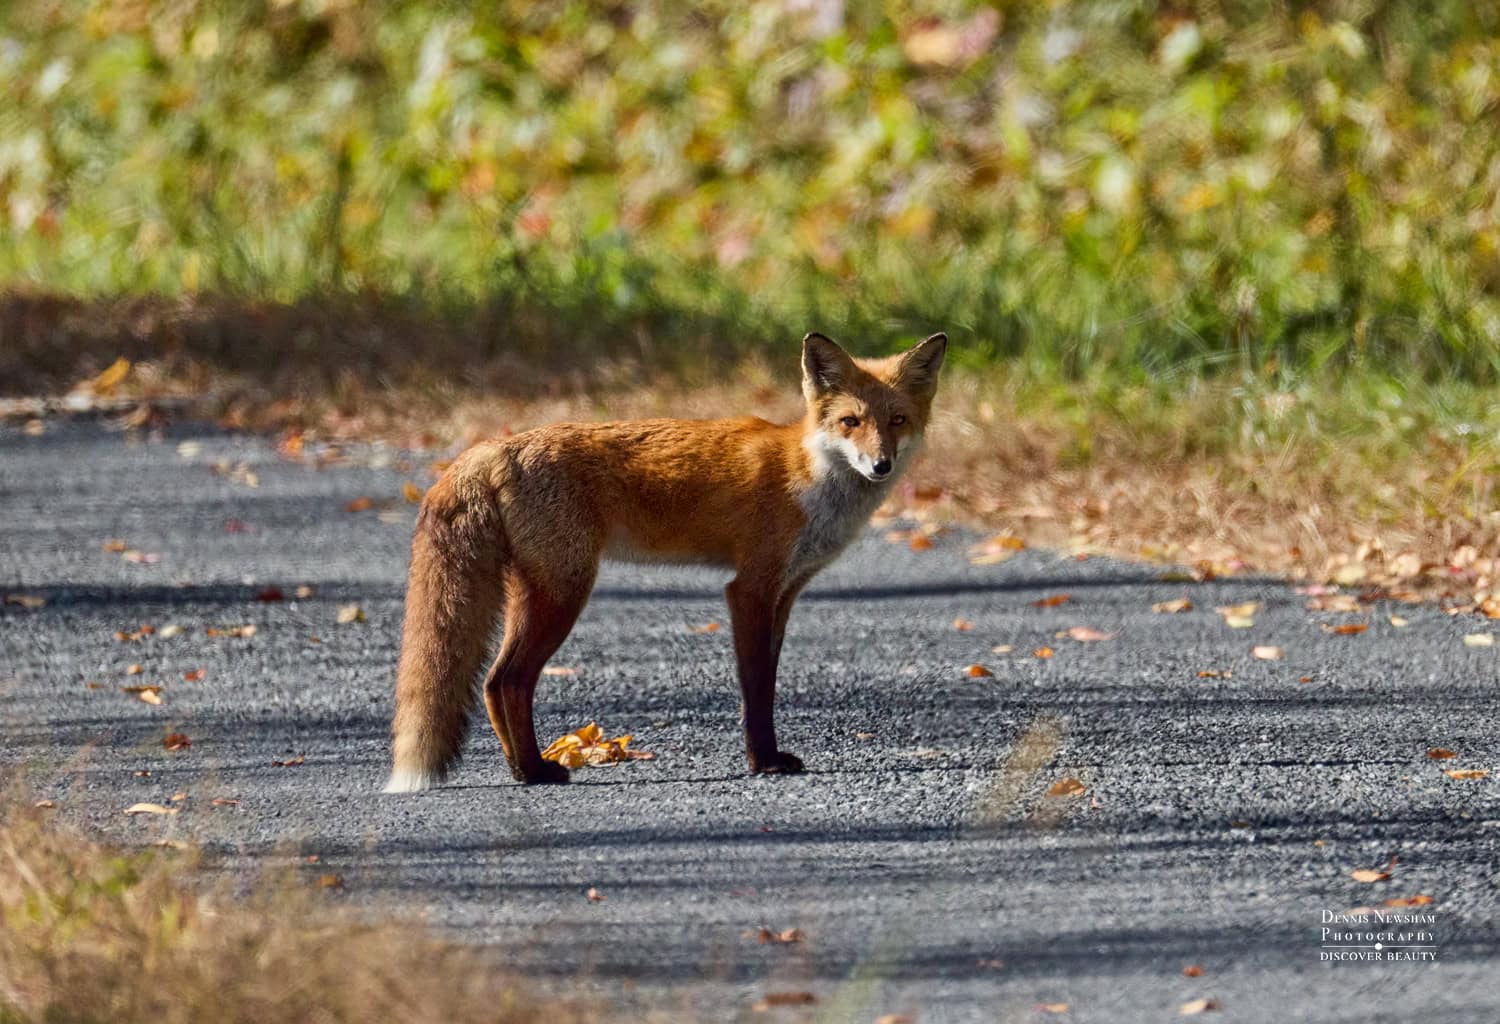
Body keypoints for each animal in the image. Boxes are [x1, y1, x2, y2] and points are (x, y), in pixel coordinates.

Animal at [383, 330, 946, 792]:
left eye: (897, 421)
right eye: (851, 422)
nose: (881, 465)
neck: (808, 475)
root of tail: (492, 447)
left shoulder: (785, 592)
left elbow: (768, 679)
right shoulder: (750, 588)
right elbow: (757, 688)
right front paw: (763, 761)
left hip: (544, 590)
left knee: (494, 683)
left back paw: (523, 769)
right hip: (564, 592)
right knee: (505, 681)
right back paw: (535, 771)